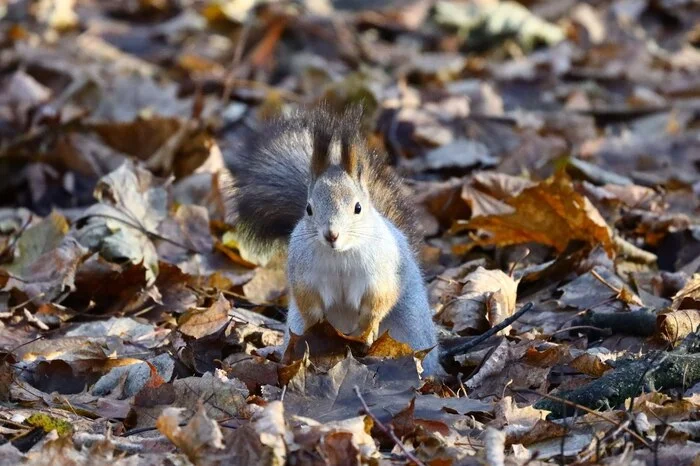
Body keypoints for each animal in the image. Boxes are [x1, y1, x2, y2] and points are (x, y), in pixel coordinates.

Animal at [226, 105, 440, 375]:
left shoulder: (382, 273)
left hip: (412, 326)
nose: (331, 235)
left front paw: (367, 329)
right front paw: (318, 327)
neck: (340, 255)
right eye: (308, 209)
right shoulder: (305, 275)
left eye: (358, 208)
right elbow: (308, 302)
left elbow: (379, 300)